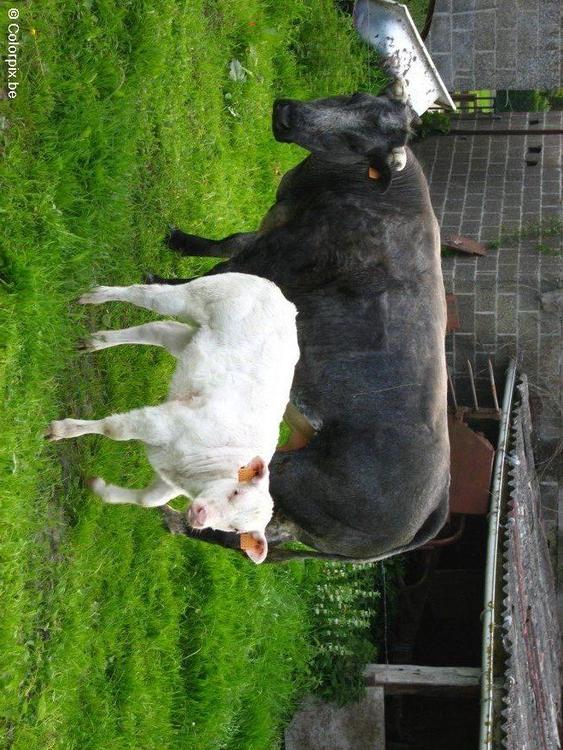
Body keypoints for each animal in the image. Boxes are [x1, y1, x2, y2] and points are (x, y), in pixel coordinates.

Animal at [150, 81, 450, 563]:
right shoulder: (270, 228)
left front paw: (154, 284)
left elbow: (215, 275)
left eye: (358, 145)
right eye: (354, 97)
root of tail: (435, 506)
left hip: (284, 478)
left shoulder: (279, 257)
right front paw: (180, 241)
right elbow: (225, 244)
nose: (287, 114)